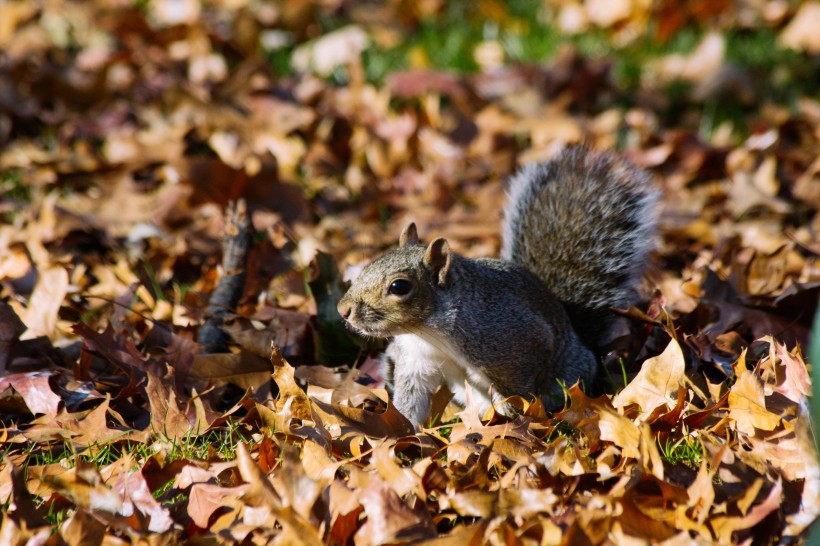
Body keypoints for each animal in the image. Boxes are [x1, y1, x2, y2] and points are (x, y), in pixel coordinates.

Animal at [334, 146, 660, 424]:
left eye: (399, 287)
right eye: (370, 264)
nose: (342, 310)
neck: (427, 333)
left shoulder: (515, 343)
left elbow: (518, 391)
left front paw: (514, 417)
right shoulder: (415, 363)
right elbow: (410, 403)